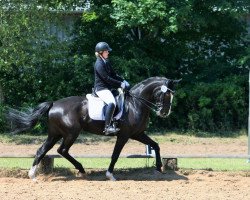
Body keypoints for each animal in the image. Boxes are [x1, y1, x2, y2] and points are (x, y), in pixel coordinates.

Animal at [7, 76, 180, 181]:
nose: (164, 113)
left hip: (56, 134)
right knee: (62, 150)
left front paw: (159, 167)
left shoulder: (137, 134)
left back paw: (33, 175)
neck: (136, 104)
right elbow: (115, 155)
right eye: (165, 95)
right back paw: (80, 169)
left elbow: (155, 145)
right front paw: (110, 175)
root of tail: (54, 104)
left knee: (43, 150)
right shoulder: (124, 135)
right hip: (71, 133)